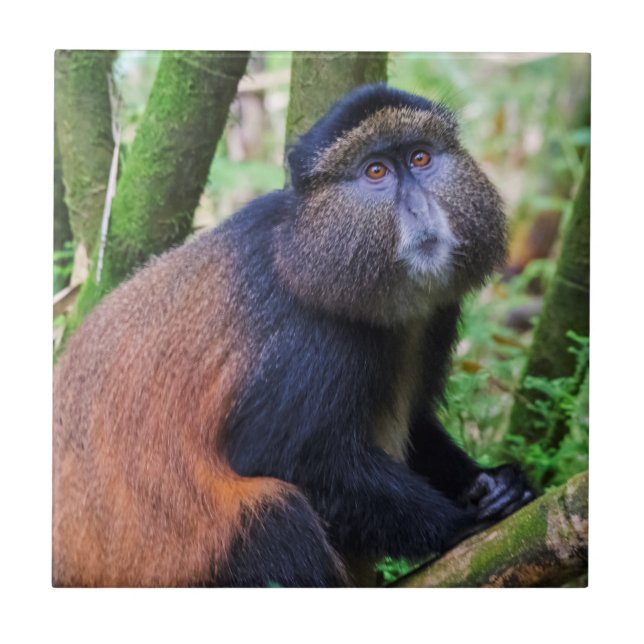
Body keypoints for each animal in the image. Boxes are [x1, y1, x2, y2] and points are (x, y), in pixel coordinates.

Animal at [53, 84, 534, 588]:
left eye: (420, 158)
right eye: (376, 171)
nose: (420, 208)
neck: (306, 250)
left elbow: (419, 420)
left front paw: (491, 482)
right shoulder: (312, 340)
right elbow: (281, 455)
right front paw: (462, 521)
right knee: (279, 517)